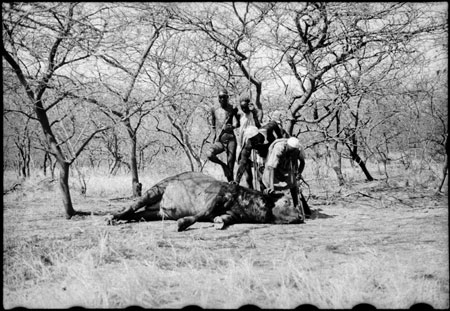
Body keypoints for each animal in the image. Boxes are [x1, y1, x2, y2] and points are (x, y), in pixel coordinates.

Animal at [106, 173, 304, 232]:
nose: (301, 216)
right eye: (287, 201)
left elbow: (223, 219)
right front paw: (183, 223)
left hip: (156, 213)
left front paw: (219, 223)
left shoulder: (231, 215)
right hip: (154, 190)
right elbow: (201, 214)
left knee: (137, 214)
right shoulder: (217, 198)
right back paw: (113, 217)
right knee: (131, 206)